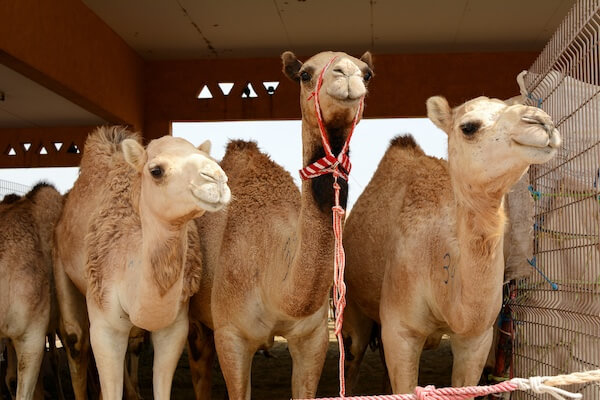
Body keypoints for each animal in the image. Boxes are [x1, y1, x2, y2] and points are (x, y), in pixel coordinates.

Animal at [52, 126, 231, 400]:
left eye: (210, 158)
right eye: (156, 170)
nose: (217, 180)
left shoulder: (174, 327)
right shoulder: (104, 324)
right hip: (59, 260)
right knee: (75, 338)